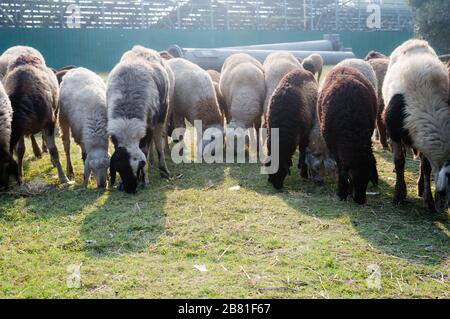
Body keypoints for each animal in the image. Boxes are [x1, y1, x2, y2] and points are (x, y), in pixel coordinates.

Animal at [3, 54, 68, 184]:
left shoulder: (50, 121)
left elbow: (53, 149)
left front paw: (63, 177)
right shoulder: (21, 129)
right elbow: (20, 150)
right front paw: (20, 175)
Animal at [107, 56, 171, 194]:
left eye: (136, 168)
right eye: (119, 170)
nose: (130, 189)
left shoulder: (149, 127)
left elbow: (145, 151)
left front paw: (144, 181)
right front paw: (120, 184)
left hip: (162, 115)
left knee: (158, 142)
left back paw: (163, 170)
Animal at [318, 67, 378, 205]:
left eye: (368, 178)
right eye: (351, 177)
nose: (360, 200)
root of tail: (343, 67)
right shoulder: (335, 149)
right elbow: (341, 169)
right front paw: (342, 192)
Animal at [384, 40, 450, 215]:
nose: (443, 207)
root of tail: (416, 41)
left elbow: (426, 167)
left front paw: (429, 200)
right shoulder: (393, 131)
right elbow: (399, 161)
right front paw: (399, 195)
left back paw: (420, 188)